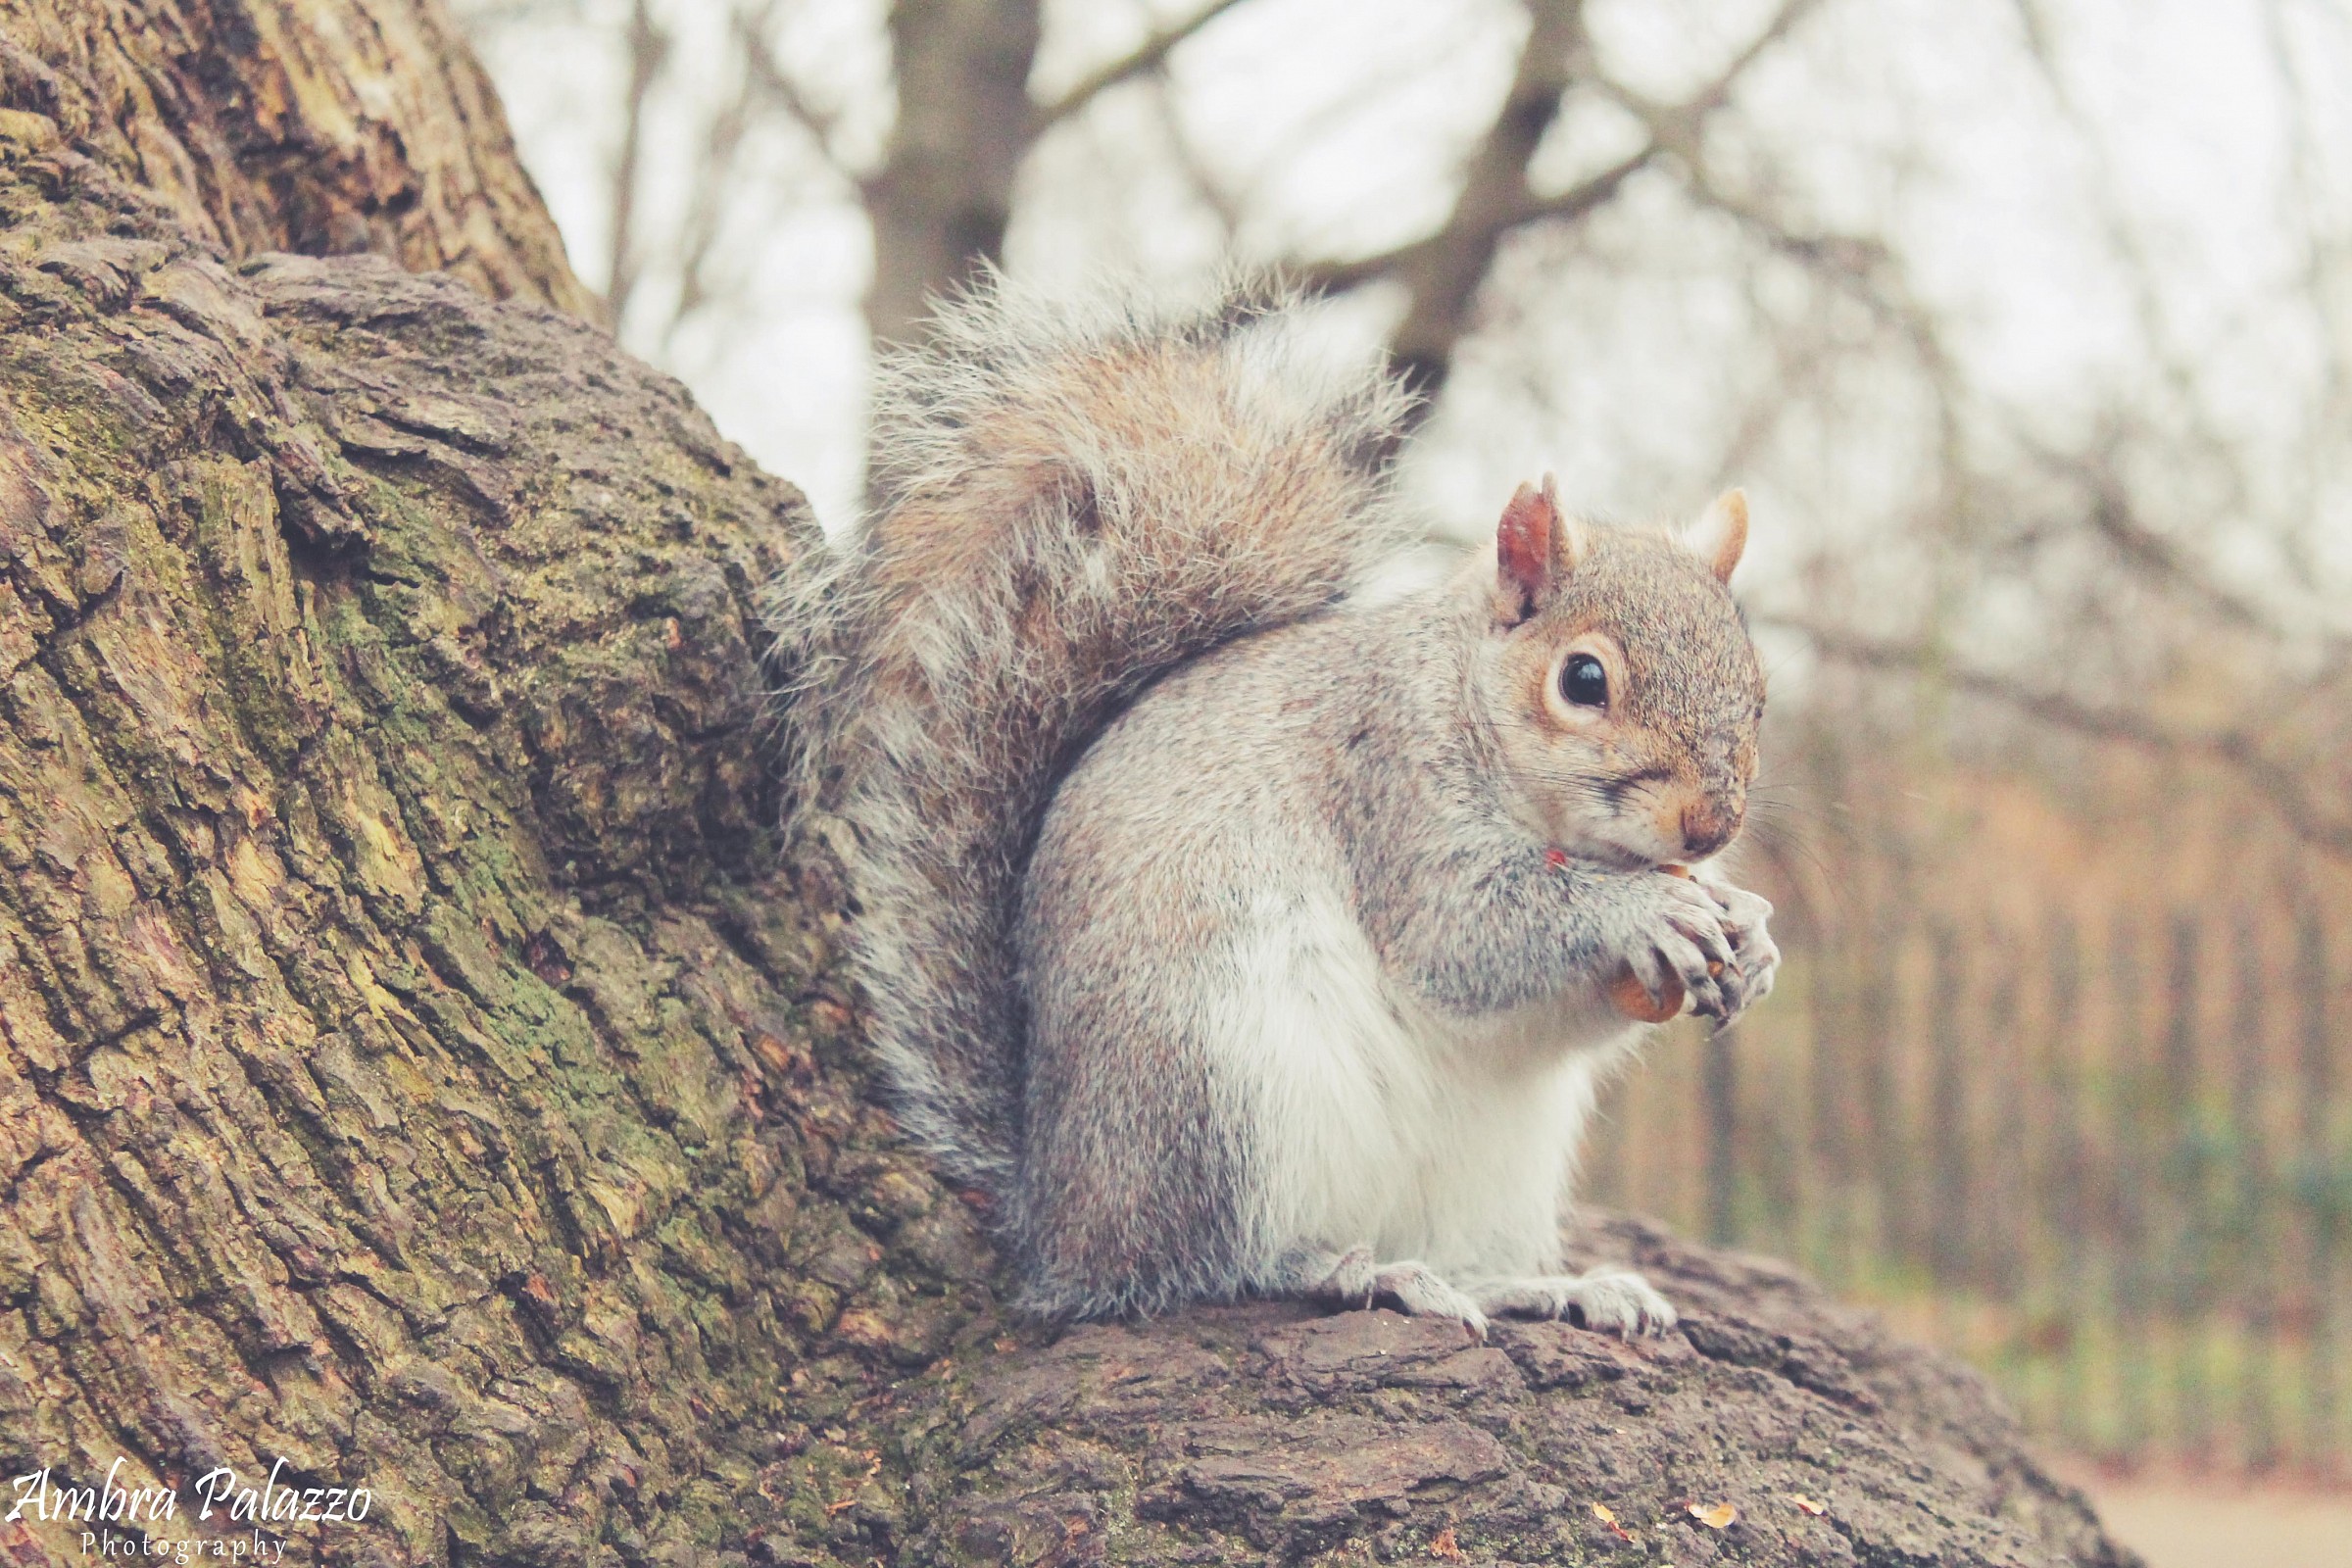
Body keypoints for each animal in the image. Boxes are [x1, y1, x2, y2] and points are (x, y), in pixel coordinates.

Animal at [779, 272, 1779, 1339]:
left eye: (1758, 690)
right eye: (1582, 680)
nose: (1708, 828)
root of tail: (1059, 1214)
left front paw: (1752, 936)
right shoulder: (1392, 792)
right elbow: (1464, 942)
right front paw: (1645, 909)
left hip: (1486, 1166)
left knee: (1450, 1251)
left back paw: (1540, 1285)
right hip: (1223, 1084)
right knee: (1210, 1262)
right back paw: (1350, 1271)